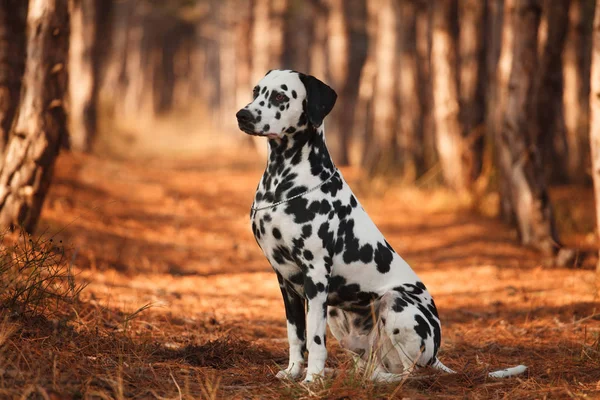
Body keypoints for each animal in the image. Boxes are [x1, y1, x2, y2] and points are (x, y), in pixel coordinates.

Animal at [234, 70, 524, 382]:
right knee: (369, 364)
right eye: (256, 91)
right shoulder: (285, 280)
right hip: (339, 316)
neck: (281, 182)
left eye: (280, 96)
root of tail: (436, 355)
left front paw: (311, 380)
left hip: (396, 302)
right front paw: (293, 372)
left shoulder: (316, 275)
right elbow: (296, 335)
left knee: (408, 373)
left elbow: (314, 339)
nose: (242, 115)